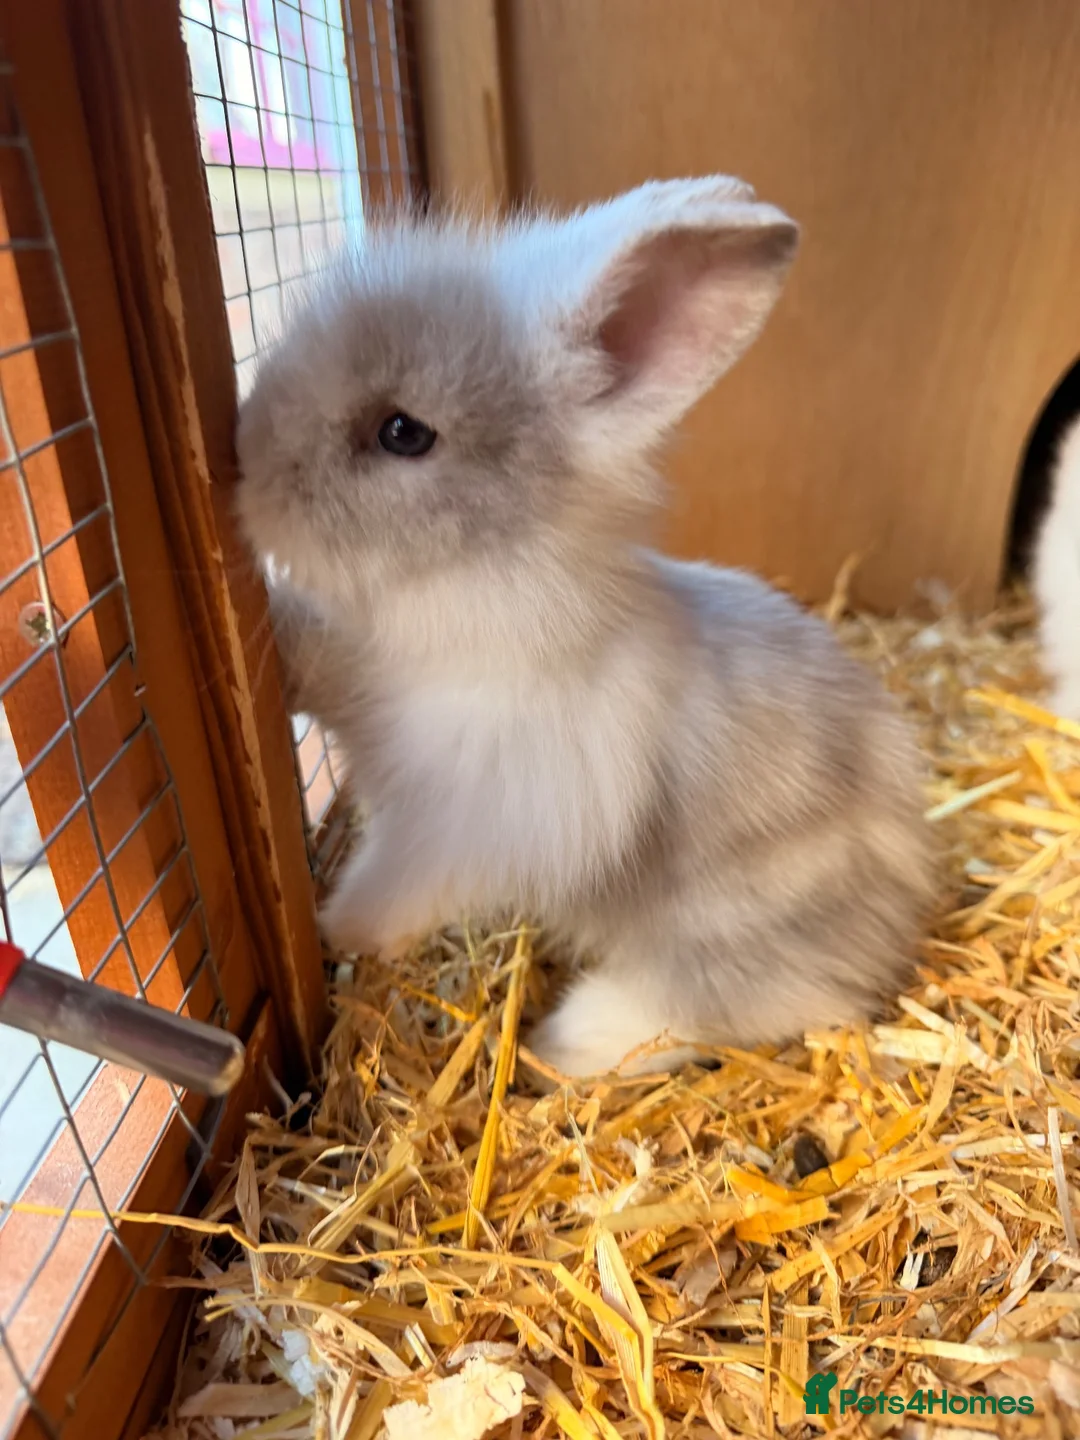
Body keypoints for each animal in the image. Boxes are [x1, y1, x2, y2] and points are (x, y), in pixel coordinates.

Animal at [235, 175, 935, 1079]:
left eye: (403, 432)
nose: (244, 455)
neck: (470, 587)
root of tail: (902, 914)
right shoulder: (359, 685)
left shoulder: (456, 825)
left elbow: (392, 885)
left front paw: (337, 930)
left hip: (729, 936)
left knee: (732, 1006)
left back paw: (559, 1046)